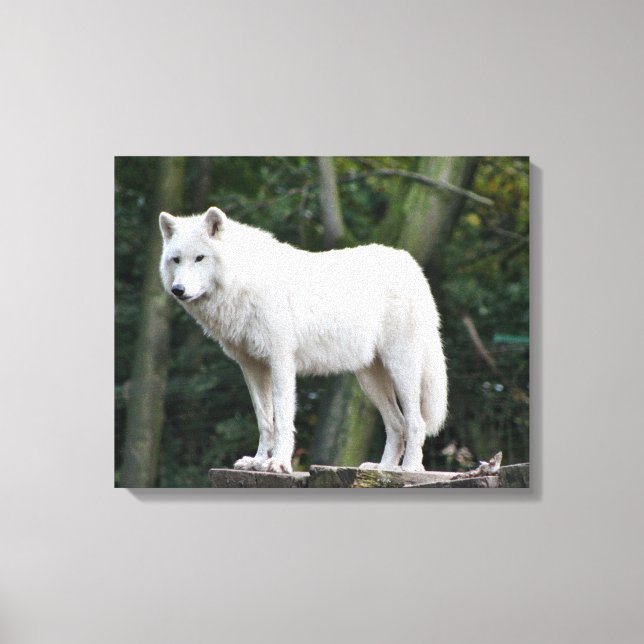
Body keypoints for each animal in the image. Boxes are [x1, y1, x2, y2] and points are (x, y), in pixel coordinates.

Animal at [159, 207, 448, 474]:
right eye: (176, 260)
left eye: (200, 258)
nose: (178, 290)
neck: (244, 280)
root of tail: (411, 264)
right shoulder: (251, 367)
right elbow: (265, 420)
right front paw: (258, 461)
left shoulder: (281, 362)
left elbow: (283, 419)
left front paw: (278, 463)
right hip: (369, 379)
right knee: (397, 425)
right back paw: (383, 469)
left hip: (401, 370)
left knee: (416, 423)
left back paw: (410, 469)